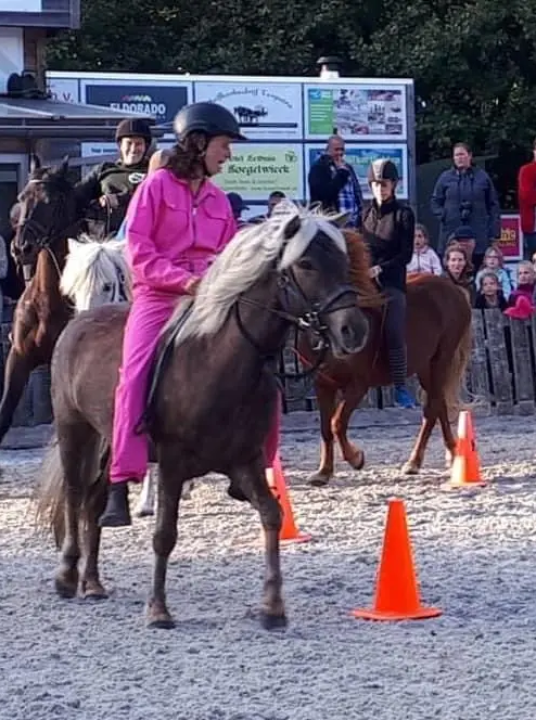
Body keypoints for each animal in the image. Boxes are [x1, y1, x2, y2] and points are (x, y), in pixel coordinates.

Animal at [34, 204, 372, 632]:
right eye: (306, 263)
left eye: (343, 262)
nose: (353, 330)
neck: (218, 363)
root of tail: (79, 323)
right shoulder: (172, 464)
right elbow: (164, 534)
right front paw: (158, 609)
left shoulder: (245, 462)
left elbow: (272, 516)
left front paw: (272, 607)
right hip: (75, 430)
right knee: (76, 494)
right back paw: (66, 576)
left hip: (110, 443)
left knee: (93, 502)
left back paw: (92, 583)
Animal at [302, 228, 474, 486]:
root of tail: (453, 288)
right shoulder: (323, 383)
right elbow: (325, 427)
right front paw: (323, 472)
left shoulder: (358, 385)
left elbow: (337, 423)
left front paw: (356, 458)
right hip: (426, 367)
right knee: (438, 405)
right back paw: (451, 454)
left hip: (441, 359)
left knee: (432, 408)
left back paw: (415, 461)